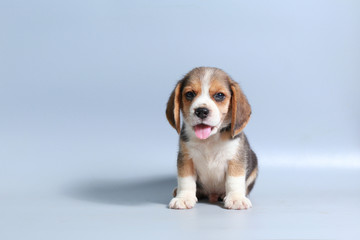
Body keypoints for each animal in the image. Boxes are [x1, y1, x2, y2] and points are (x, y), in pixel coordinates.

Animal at [166, 66, 258, 209]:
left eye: (219, 95)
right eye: (189, 94)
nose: (201, 111)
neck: (209, 139)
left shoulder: (235, 159)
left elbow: (234, 180)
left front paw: (236, 198)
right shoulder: (186, 158)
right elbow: (186, 180)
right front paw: (184, 197)